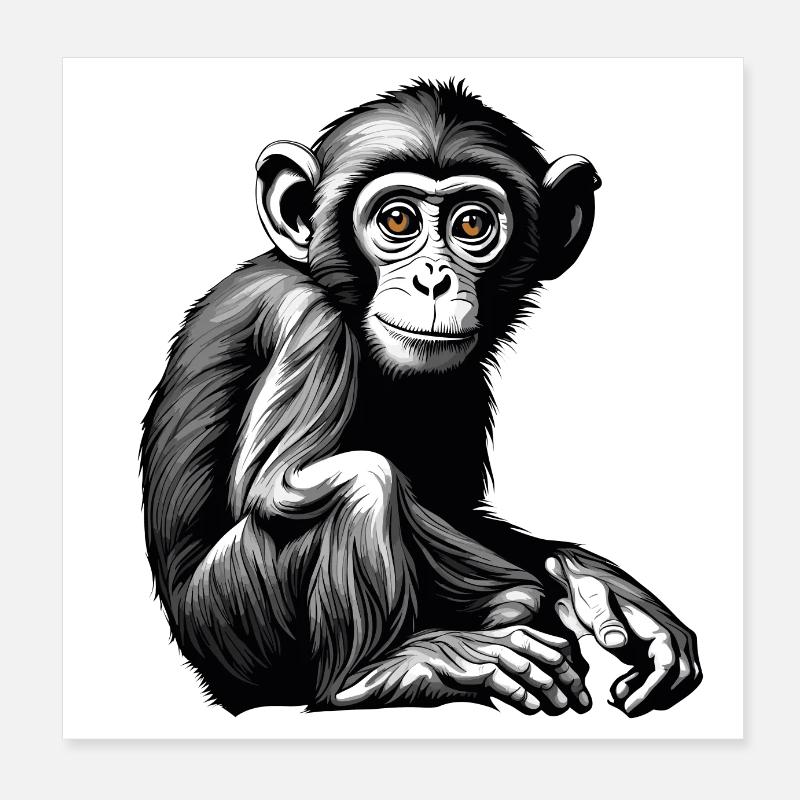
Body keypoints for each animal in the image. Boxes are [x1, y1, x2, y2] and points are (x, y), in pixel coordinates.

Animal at [141, 79, 701, 717]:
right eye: (399, 219)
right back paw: (385, 671)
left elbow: (452, 502)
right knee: (361, 483)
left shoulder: (463, 381)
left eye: (473, 225)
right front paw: (515, 600)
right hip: (237, 620)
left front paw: (593, 584)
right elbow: (277, 485)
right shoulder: (306, 320)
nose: (432, 279)